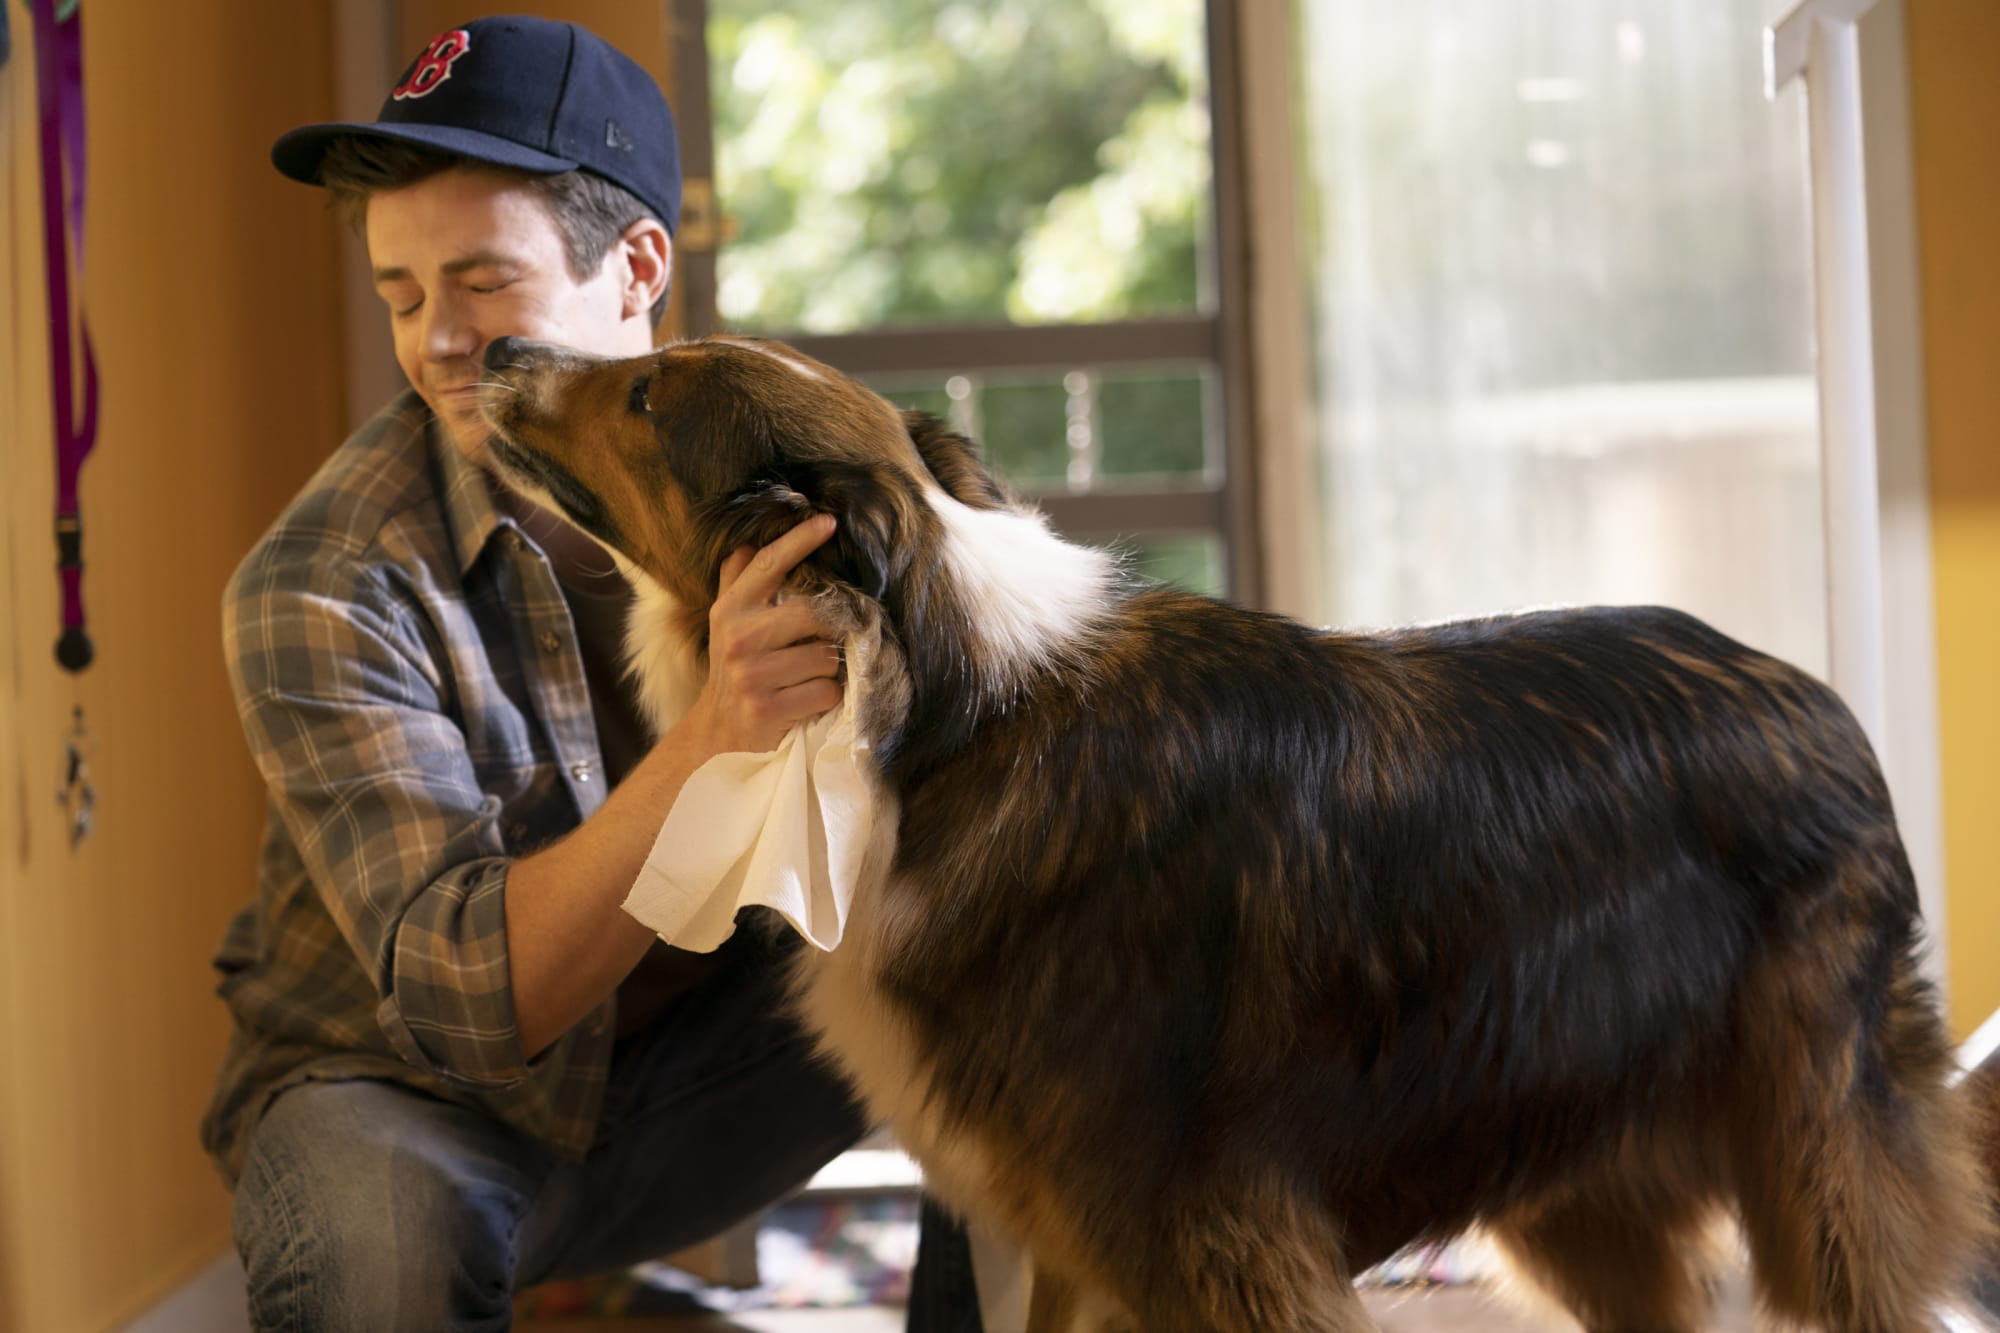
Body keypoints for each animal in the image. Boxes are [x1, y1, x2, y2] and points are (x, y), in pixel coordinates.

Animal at [480, 332, 1984, 1328]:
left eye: (646, 388)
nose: (502, 347)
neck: (944, 718)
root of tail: (1815, 701)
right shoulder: (1066, 1231)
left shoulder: (1203, 1230)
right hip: (1574, 1176)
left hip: (1813, 1157)